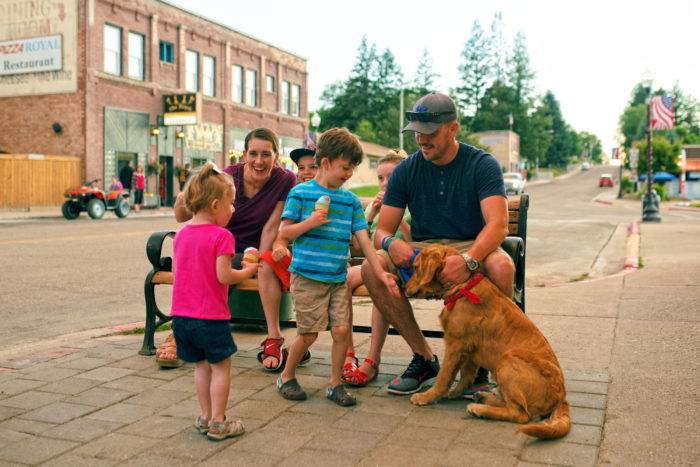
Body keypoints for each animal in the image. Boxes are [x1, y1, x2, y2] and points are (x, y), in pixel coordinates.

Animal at [404, 243, 568, 440]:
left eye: (415, 267)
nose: (403, 288)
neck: (462, 287)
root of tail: (561, 398)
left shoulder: (455, 345)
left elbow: (444, 376)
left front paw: (426, 397)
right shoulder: (469, 350)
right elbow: (466, 375)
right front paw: (456, 392)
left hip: (507, 361)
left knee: (520, 414)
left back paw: (479, 408)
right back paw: (483, 398)